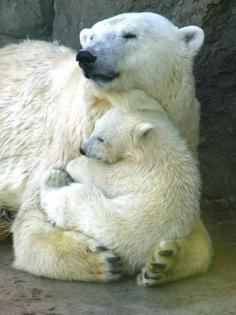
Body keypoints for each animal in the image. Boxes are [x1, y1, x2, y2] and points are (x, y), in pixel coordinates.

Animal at [0, 12, 205, 284]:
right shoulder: (68, 138)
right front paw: (98, 259)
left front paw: (165, 259)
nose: (86, 56)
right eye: (92, 36)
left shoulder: (183, 134)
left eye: (129, 34)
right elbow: (33, 221)